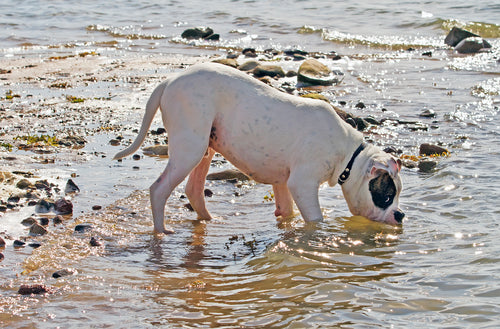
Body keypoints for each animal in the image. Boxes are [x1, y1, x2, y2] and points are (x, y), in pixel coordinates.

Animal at [115, 62, 404, 233]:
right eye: (387, 195)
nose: (400, 215)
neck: (348, 156)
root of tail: (170, 80)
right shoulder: (302, 184)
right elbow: (315, 219)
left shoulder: (283, 183)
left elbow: (286, 211)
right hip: (189, 149)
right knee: (159, 189)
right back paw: (161, 231)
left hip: (205, 148)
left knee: (193, 190)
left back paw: (209, 220)